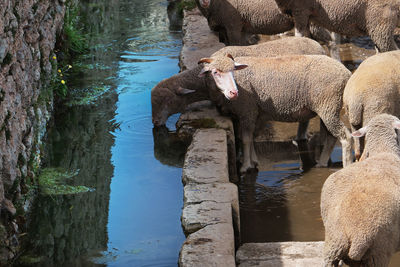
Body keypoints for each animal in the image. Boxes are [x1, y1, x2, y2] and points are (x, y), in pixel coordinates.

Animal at [198, 53, 352, 173]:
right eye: (215, 72)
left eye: (233, 70)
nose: (233, 93)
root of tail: (346, 73)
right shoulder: (253, 112)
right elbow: (251, 138)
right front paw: (254, 161)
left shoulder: (247, 111)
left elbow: (245, 139)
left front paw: (245, 166)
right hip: (328, 108)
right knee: (331, 137)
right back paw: (322, 163)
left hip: (329, 106)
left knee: (346, 137)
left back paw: (347, 165)